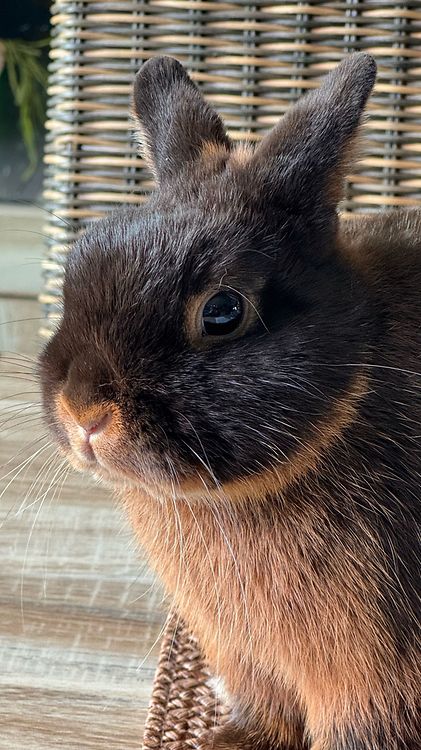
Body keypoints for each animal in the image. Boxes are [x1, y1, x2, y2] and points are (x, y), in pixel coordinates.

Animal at [39, 53, 420, 750]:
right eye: (80, 261)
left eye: (222, 311)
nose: (84, 414)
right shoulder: (248, 657)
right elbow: (267, 709)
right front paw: (230, 740)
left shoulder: (375, 673)